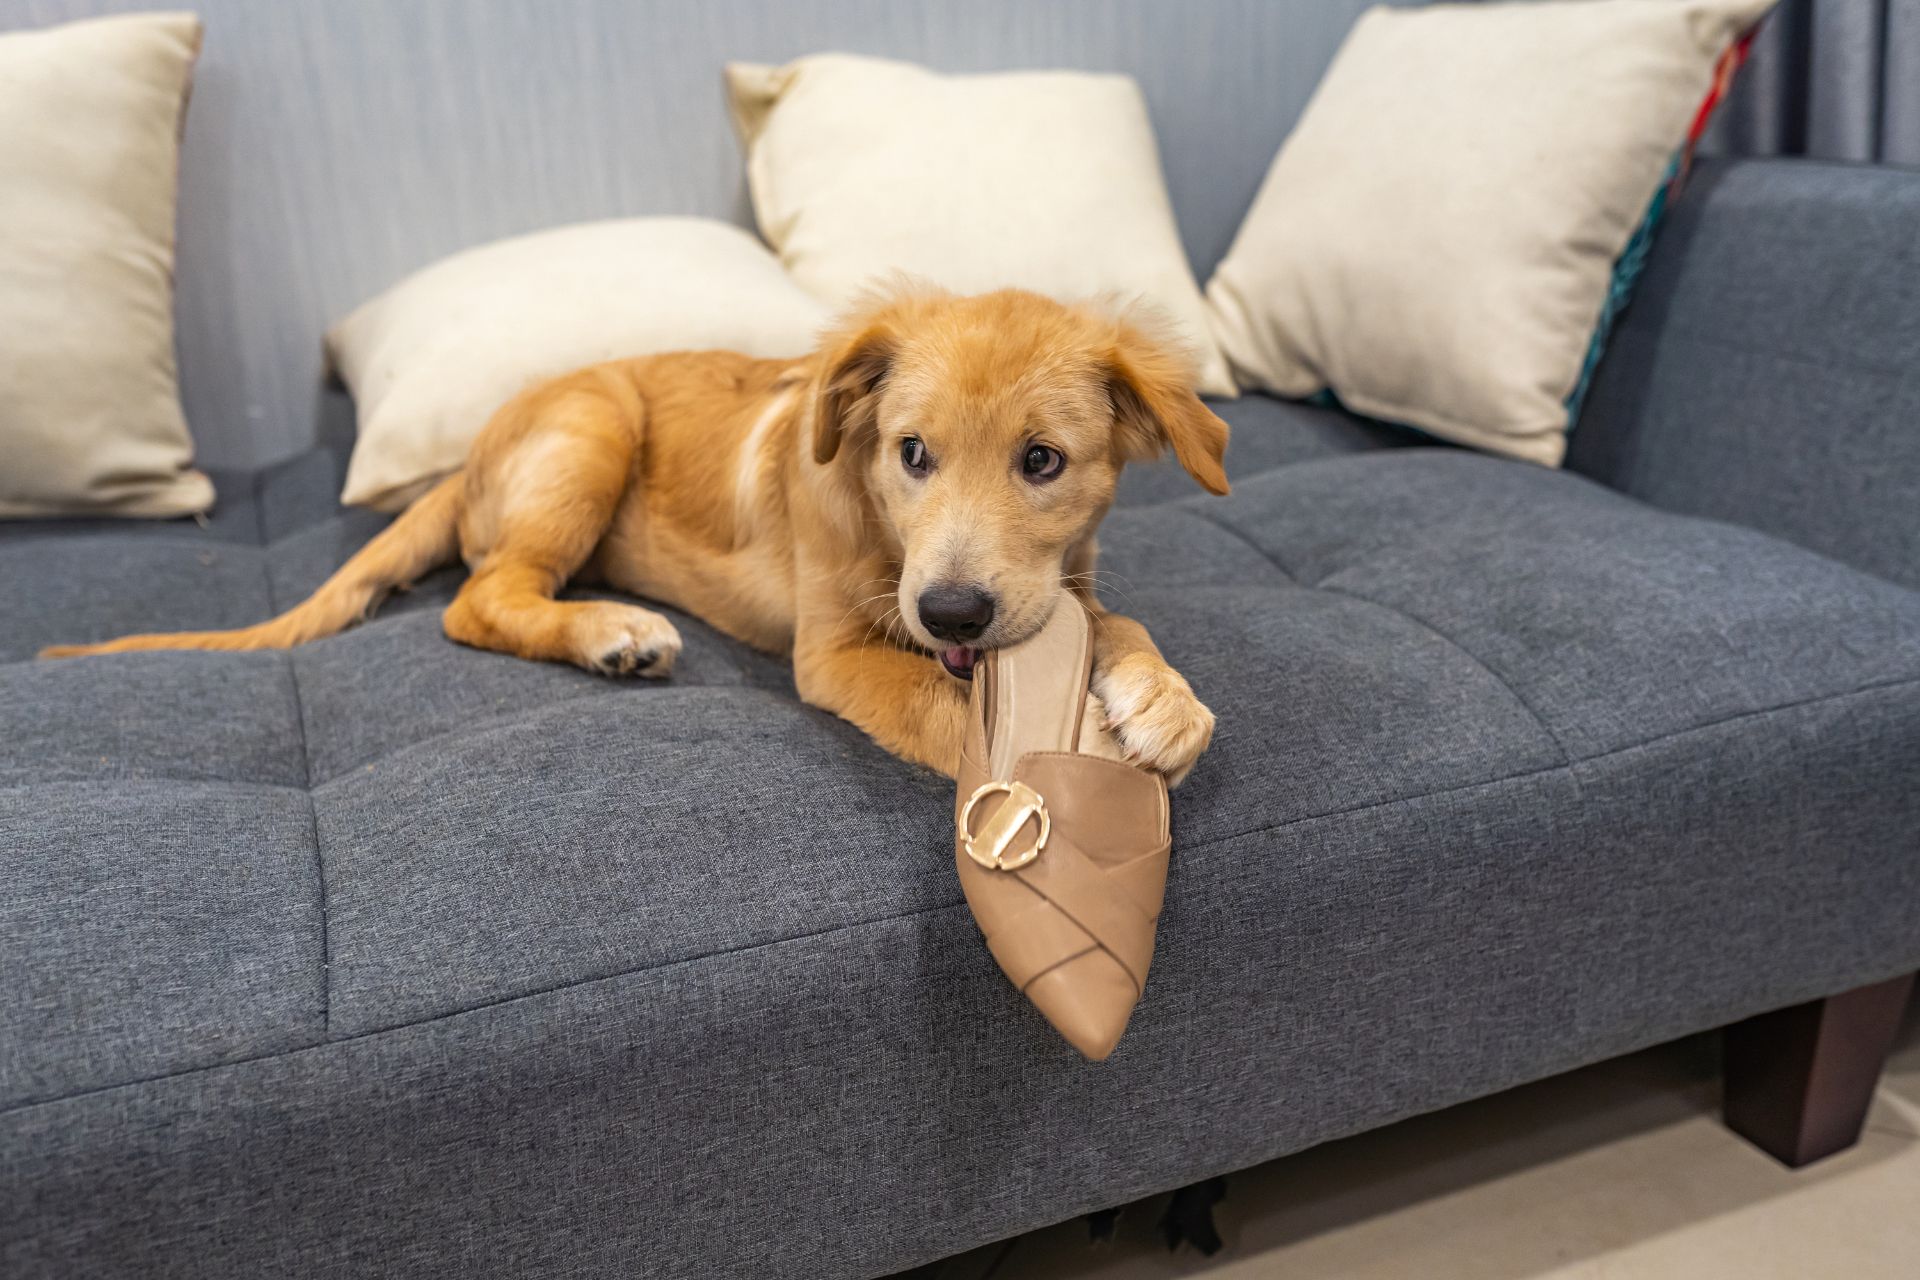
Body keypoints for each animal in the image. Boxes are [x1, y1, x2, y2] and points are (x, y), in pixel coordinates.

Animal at [52, 291, 1236, 786]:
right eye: (912, 453)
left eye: (1042, 462)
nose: (951, 611)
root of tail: (464, 460)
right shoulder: (835, 654)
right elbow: (946, 709)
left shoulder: (1061, 585)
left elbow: (1115, 620)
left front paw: (1165, 705)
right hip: (595, 430)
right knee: (479, 598)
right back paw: (611, 632)